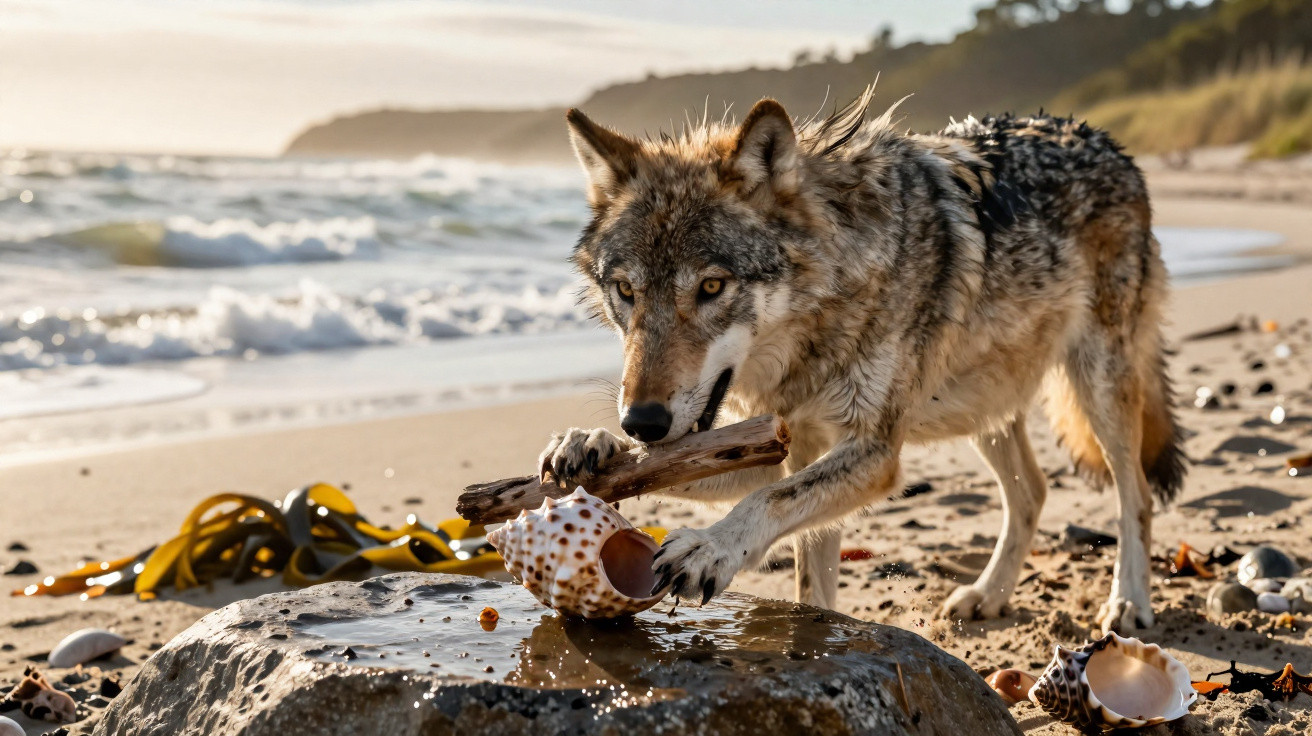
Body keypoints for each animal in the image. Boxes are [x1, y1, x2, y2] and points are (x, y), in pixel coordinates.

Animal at [539, 88, 1184, 633]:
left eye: (712, 287)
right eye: (626, 290)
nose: (641, 421)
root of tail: (1103, 139)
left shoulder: (874, 452)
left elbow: (768, 500)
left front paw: (710, 548)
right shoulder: (786, 445)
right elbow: (791, 551)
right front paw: (592, 443)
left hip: (1099, 390)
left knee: (1135, 496)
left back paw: (1128, 603)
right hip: (983, 409)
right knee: (1033, 494)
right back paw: (988, 595)